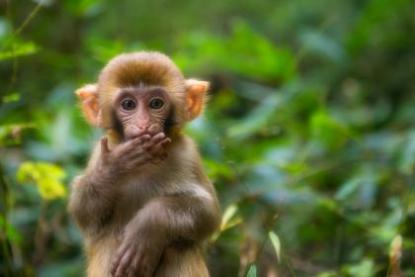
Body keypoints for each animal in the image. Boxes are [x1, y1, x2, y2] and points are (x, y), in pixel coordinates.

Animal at [69, 51, 221, 276]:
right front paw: (114, 166)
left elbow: (208, 212)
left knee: (181, 247)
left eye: (156, 104)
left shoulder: (188, 155)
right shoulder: (100, 152)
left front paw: (147, 228)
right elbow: (83, 211)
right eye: (128, 105)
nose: (143, 124)